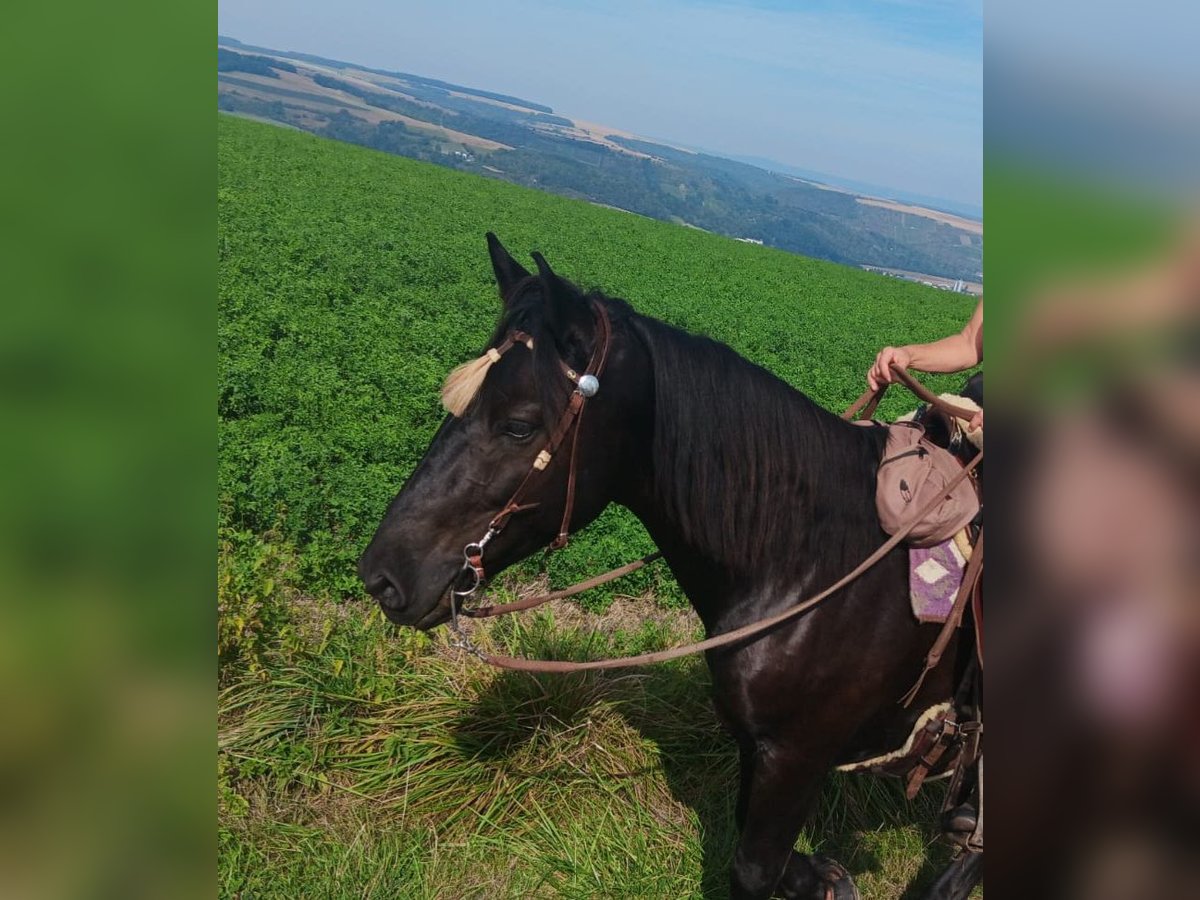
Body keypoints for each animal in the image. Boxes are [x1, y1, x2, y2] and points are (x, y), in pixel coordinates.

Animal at [355, 237, 984, 900]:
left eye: (519, 426)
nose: (382, 575)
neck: (811, 565)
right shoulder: (759, 748)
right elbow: (771, 852)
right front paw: (825, 878)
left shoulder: (795, 755)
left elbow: (753, 869)